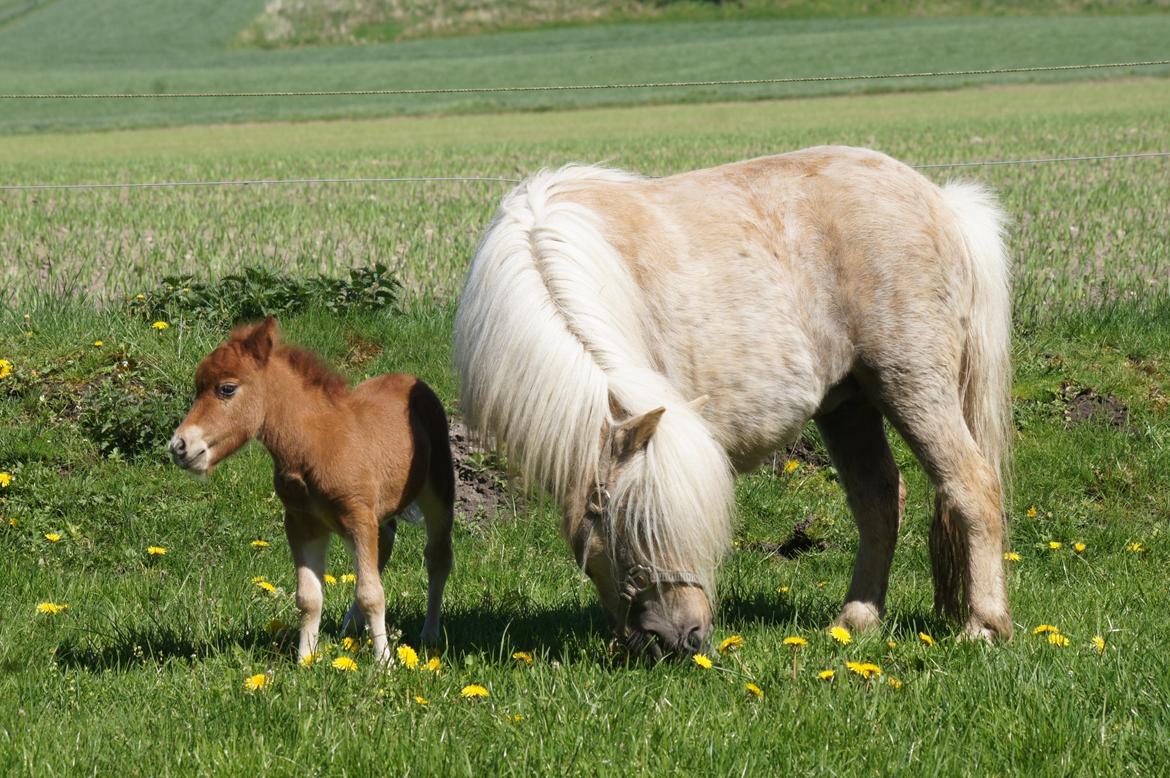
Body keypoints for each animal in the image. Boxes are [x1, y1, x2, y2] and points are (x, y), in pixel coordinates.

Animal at [169, 315, 451, 659]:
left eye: (227, 388)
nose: (179, 446)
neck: (315, 443)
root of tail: (412, 381)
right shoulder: (303, 522)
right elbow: (308, 597)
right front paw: (306, 659)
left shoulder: (358, 517)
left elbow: (371, 594)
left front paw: (384, 661)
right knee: (384, 549)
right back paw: (349, 628)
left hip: (437, 490)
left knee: (437, 557)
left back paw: (430, 635)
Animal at [456, 143, 1015, 655]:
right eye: (626, 527)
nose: (680, 638)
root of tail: (942, 202)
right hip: (848, 406)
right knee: (878, 499)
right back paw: (855, 621)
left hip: (912, 385)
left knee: (972, 485)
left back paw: (983, 626)